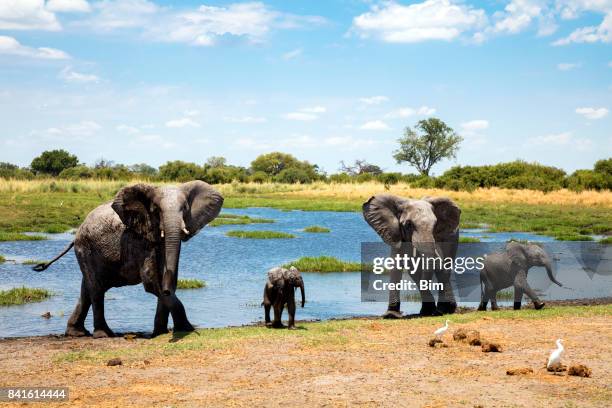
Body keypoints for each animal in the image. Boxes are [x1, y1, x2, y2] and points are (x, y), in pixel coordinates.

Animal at [33, 182, 225, 338]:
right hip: (85, 248)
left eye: (185, 209)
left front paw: (161, 332)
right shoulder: (139, 241)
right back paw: (104, 335)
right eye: (156, 210)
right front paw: (186, 328)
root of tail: (77, 233)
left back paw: (76, 333)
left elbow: (168, 277)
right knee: (96, 288)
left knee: (86, 289)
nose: (166, 291)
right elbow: (150, 281)